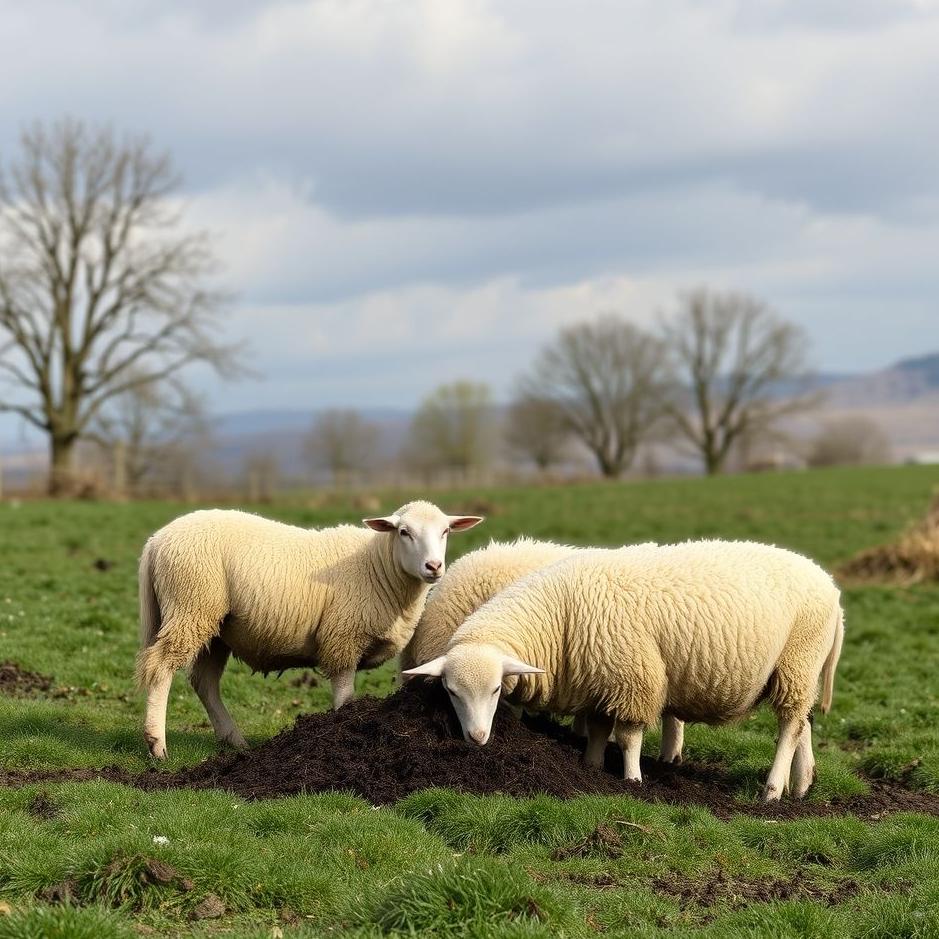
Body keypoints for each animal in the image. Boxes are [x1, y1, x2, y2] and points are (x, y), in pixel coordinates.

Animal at [137, 501, 483, 759]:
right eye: (404, 532)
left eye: (445, 531)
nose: (434, 567)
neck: (378, 567)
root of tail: (156, 540)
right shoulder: (343, 638)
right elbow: (344, 695)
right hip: (191, 605)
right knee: (161, 668)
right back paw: (157, 744)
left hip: (215, 625)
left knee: (205, 682)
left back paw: (235, 741)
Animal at [403, 540, 844, 802]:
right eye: (452, 692)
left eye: (495, 689)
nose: (477, 739)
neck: (558, 614)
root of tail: (832, 588)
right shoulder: (600, 679)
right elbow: (600, 729)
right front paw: (591, 767)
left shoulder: (633, 677)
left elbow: (629, 736)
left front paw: (632, 780)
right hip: (800, 671)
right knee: (802, 723)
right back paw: (801, 783)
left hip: (798, 660)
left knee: (789, 727)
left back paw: (773, 789)